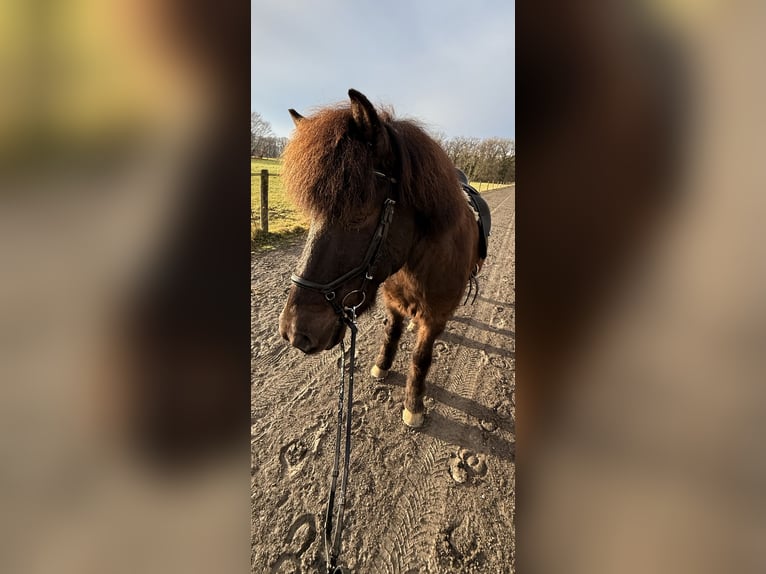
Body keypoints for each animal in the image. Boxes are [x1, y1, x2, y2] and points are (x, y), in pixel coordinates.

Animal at [278, 89, 489, 428]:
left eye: (359, 212)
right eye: (313, 213)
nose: (294, 331)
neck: (417, 266)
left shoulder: (435, 318)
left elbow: (420, 357)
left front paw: (413, 404)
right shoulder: (393, 302)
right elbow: (391, 333)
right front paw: (382, 365)